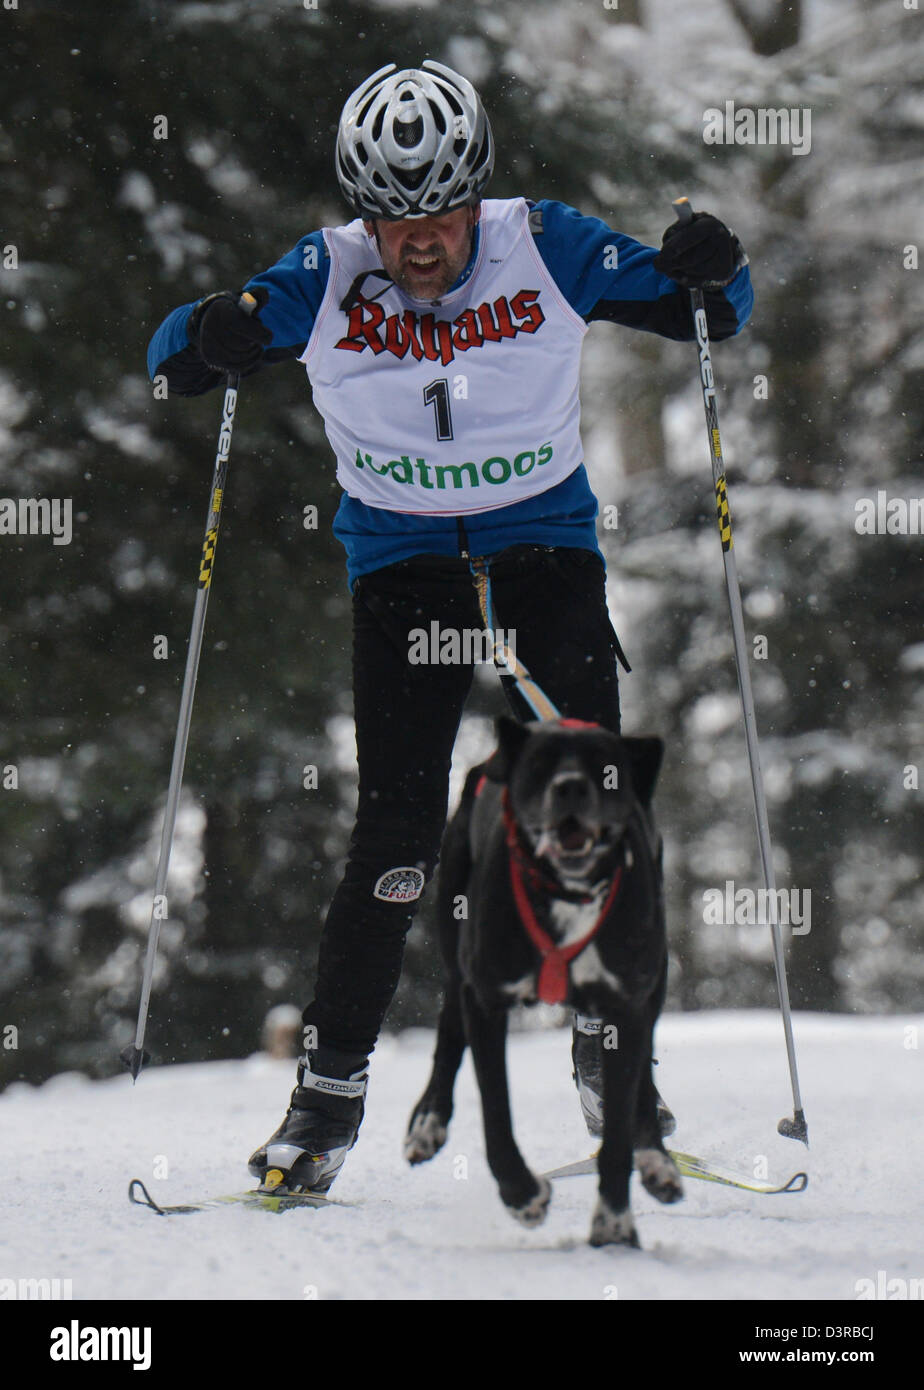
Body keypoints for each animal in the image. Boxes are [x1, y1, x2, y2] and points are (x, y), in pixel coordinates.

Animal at [408, 717, 680, 1251]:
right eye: (540, 763)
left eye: (604, 766)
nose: (570, 786)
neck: (568, 893)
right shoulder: (485, 999)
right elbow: (496, 1115)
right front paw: (521, 1194)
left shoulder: (628, 1004)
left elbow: (618, 1127)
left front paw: (614, 1223)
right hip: (455, 937)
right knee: (449, 1031)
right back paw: (428, 1121)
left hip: (651, 986)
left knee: (642, 1076)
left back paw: (656, 1160)